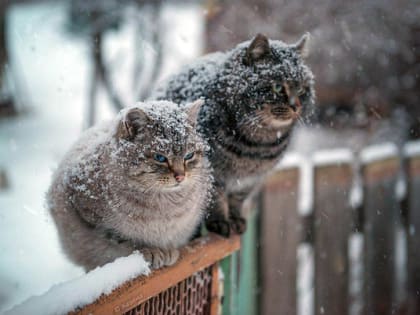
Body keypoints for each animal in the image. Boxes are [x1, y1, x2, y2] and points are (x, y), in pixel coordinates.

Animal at [47, 100, 212, 272]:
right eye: (160, 157)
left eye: (189, 156)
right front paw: (151, 250)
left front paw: (167, 251)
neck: (164, 204)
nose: (181, 176)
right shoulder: (92, 218)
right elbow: (124, 240)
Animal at [152, 34, 316, 237]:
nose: (296, 106)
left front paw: (236, 219)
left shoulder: (250, 180)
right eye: (278, 87)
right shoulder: (213, 173)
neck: (258, 145)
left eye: (301, 89)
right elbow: (216, 199)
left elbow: (237, 200)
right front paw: (221, 222)